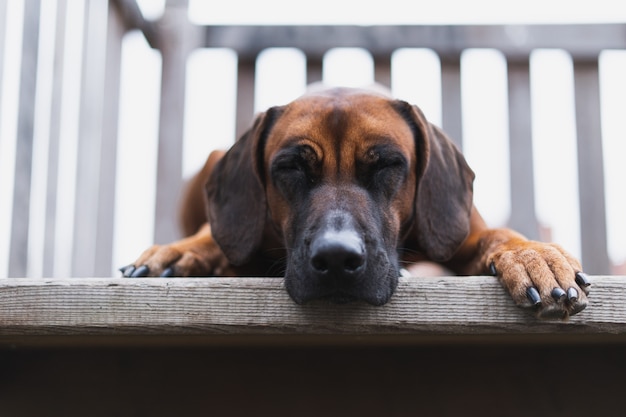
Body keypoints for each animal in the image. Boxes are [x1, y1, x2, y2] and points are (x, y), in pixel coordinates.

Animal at [119, 86, 588, 316]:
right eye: (291, 167)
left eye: (387, 164)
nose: (336, 259)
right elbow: (212, 236)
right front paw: (185, 251)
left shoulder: (462, 227)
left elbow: (498, 235)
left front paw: (532, 255)